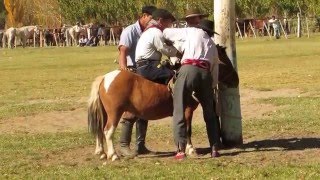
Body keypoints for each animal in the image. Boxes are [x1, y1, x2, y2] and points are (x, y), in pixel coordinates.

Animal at [87, 45, 238, 162]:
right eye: (224, 61)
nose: (235, 80)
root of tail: (105, 78)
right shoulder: (187, 110)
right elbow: (188, 129)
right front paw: (190, 149)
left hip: (105, 113)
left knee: (100, 129)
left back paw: (102, 152)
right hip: (115, 113)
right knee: (108, 131)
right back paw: (113, 155)